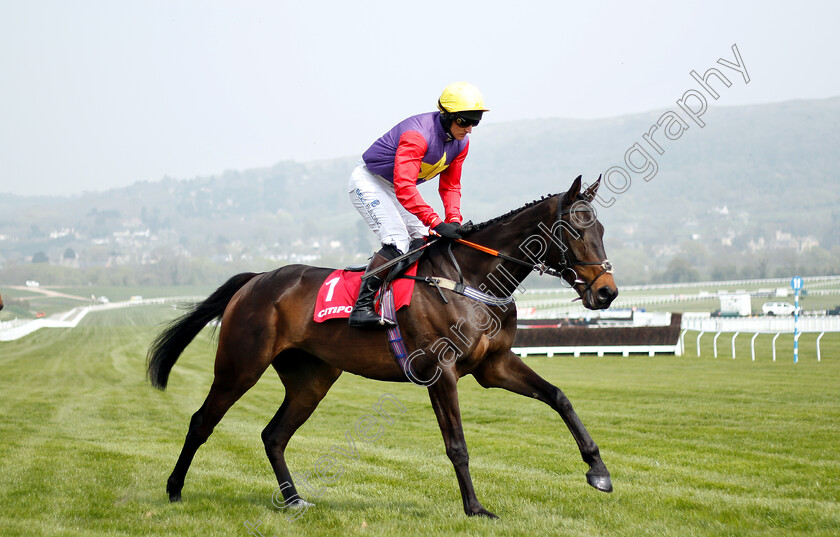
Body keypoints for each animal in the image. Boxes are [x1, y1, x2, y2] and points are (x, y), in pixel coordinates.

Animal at [146, 175, 616, 516]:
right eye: (575, 230)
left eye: (601, 228)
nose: (607, 292)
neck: (472, 279)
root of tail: (256, 279)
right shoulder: (441, 371)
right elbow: (457, 445)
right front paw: (475, 508)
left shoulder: (494, 366)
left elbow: (559, 397)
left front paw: (598, 471)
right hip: (240, 366)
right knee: (202, 421)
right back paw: (174, 489)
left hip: (311, 379)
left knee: (273, 435)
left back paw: (294, 500)